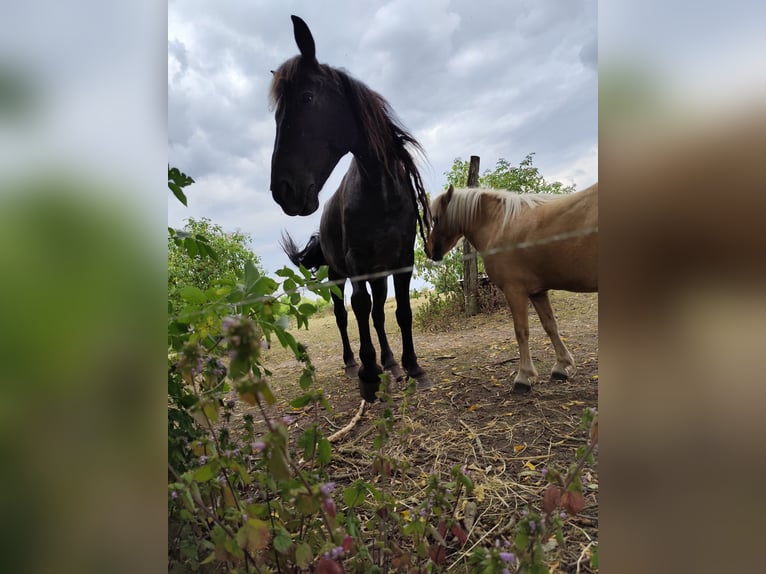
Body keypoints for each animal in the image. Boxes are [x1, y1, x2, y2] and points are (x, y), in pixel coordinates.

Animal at [269, 15, 432, 402]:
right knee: (345, 315)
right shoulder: (356, 265)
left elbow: (401, 312)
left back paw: (391, 364)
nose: (283, 191)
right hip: (337, 275)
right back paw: (352, 363)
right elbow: (358, 309)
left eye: (307, 97)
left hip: (377, 273)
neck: (381, 193)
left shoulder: (401, 261)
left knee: (377, 313)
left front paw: (412, 367)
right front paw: (368, 374)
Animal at [425, 183, 598, 393]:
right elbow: (550, 326)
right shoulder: (538, 292)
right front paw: (562, 366)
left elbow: (521, 331)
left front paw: (524, 377)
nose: (428, 249)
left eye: (436, 218)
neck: (499, 226)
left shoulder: (514, 291)